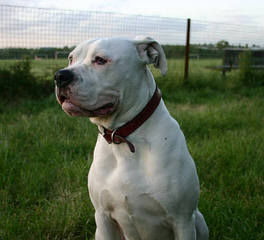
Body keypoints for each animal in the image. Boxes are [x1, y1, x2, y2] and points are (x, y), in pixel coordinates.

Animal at [54, 36, 209, 240]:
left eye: (100, 60)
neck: (123, 137)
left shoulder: (182, 220)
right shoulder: (103, 218)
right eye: (71, 59)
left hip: (198, 220)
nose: (60, 76)